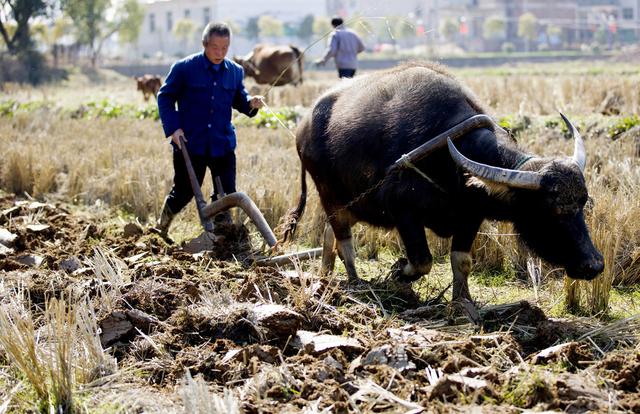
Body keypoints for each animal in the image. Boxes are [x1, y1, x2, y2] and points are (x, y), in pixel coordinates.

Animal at [284, 62, 604, 308]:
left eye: (582, 203)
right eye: (550, 210)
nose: (594, 264)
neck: (448, 159)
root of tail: (303, 126)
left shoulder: (470, 216)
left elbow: (461, 261)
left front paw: (463, 302)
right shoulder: (404, 212)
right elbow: (422, 261)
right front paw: (397, 274)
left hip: (349, 203)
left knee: (331, 235)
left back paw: (325, 275)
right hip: (328, 194)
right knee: (345, 242)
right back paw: (354, 282)